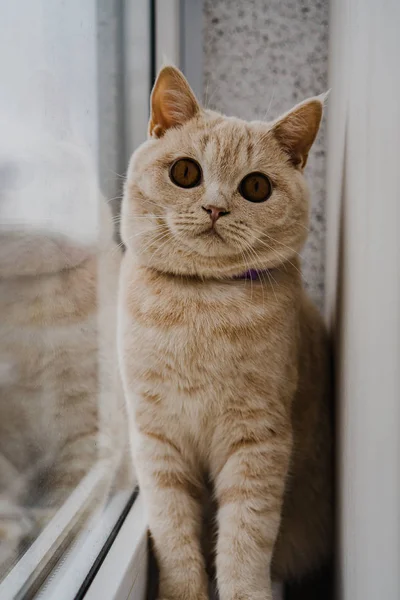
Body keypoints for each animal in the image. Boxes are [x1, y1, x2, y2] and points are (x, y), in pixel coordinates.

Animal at [118, 67, 332, 600]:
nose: (215, 208)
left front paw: (242, 591)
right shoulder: (157, 438)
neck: (202, 304)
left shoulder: (258, 441)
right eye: (186, 173)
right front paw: (184, 593)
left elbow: (245, 537)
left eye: (255, 186)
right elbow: (173, 530)